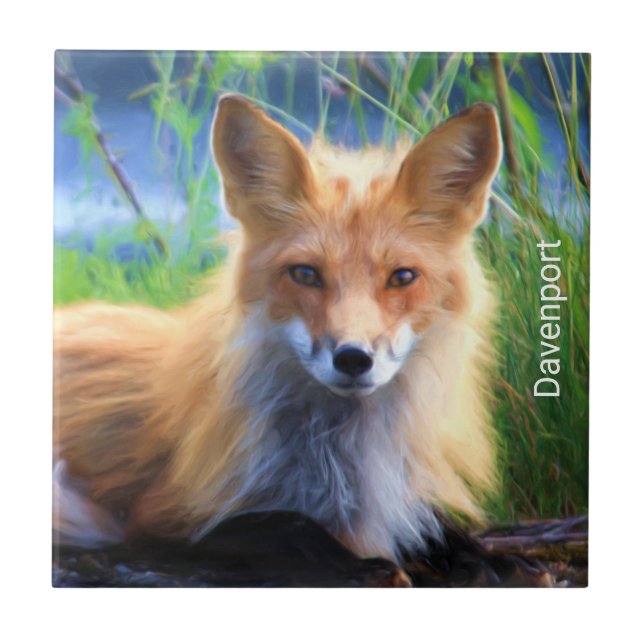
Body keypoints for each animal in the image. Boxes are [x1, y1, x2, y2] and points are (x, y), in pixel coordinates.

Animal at [53, 94, 502, 569]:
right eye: (305, 274)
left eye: (401, 277)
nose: (353, 358)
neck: (339, 463)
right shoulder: (159, 520)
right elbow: (289, 524)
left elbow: (451, 535)